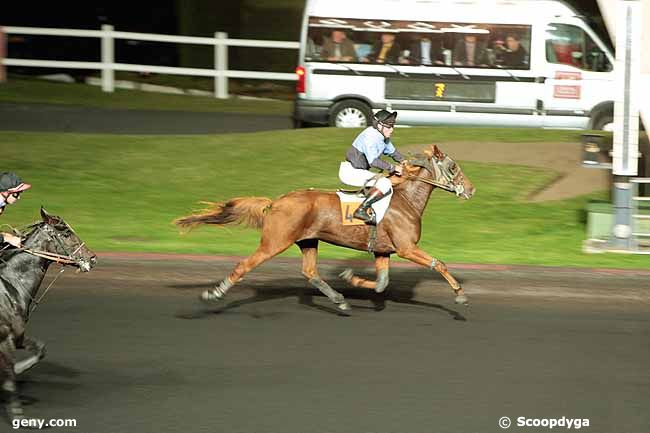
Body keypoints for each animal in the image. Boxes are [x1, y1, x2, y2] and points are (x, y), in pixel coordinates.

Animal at [0, 208, 95, 420]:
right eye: (65, 233)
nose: (92, 258)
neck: (11, 285)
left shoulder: (18, 336)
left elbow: (40, 350)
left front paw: (20, 369)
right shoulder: (5, 339)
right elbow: (9, 377)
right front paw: (18, 415)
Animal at [175, 145, 474, 310]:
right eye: (453, 167)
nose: (471, 189)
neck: (405, 200)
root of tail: (275, 202)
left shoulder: (383, 251)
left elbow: (381, 284)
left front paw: (350, 277)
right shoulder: (406, 248)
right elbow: (439, 263)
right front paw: (459, 294)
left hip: (308, 240)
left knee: (310, 272)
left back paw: (339, 299)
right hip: (274, 242)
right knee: (244, 265)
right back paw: (214, 293)